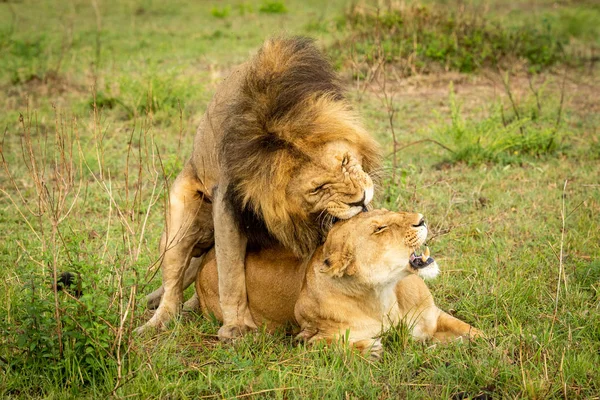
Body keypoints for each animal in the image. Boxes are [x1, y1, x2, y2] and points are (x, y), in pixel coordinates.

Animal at [138, 36, 378, 340]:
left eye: (346, 161)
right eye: (318, 188)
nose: (360, 200)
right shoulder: (227, 203)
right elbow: (230, 274)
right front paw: (236, 327)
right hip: (179, 226)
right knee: (173, 283)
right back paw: (159, 321)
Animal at [196, 209, 482, 356]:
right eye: (379, 228)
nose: (421, 219)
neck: (383, 294)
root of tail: (208, 255)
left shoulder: (432, 315)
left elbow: (471, 331)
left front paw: (485, 346)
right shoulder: (308, 338)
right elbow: (337, 345)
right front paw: (369, 348)